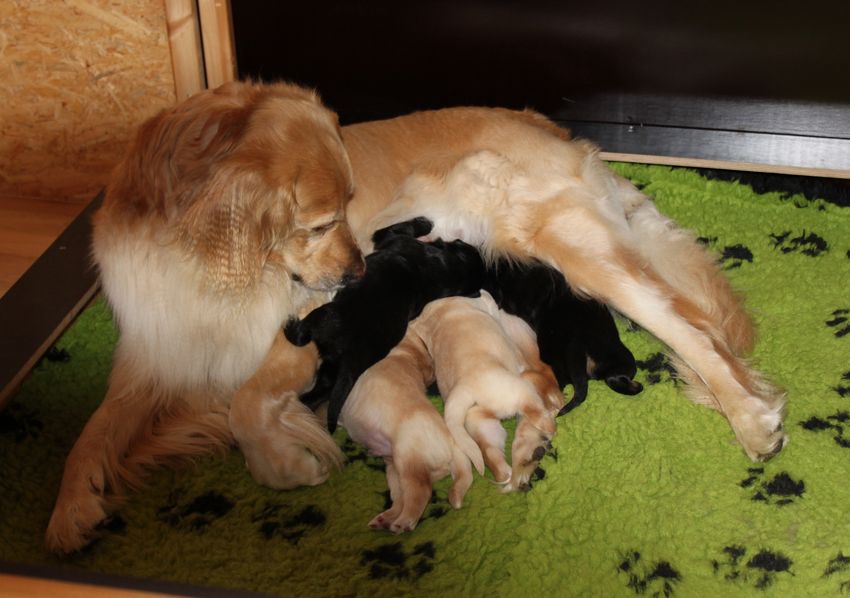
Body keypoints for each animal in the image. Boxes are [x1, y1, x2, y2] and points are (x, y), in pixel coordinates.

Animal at [284, 218, 485, 431]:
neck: (443, 271)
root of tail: (352, 356)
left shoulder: (391, 236)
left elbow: (398, 228)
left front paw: (424, 222)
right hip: (332, 374)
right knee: (314, 397)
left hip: (325, 316)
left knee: (300, 337)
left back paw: (290, 322)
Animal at [340, 329, 472, 533]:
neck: (404, 356)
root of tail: (452, 442)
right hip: (395, 470)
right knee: (402, 499)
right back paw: (384, 519)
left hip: (408, 458)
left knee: (421, 491)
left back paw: (404, 522)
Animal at [411, 291, 564, 490]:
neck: (439, 316)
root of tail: (465, 388)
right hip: (519, 389)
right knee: (538, 410)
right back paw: (550, 425)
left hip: (479, 424)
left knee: (493, 458)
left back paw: (512, 473)